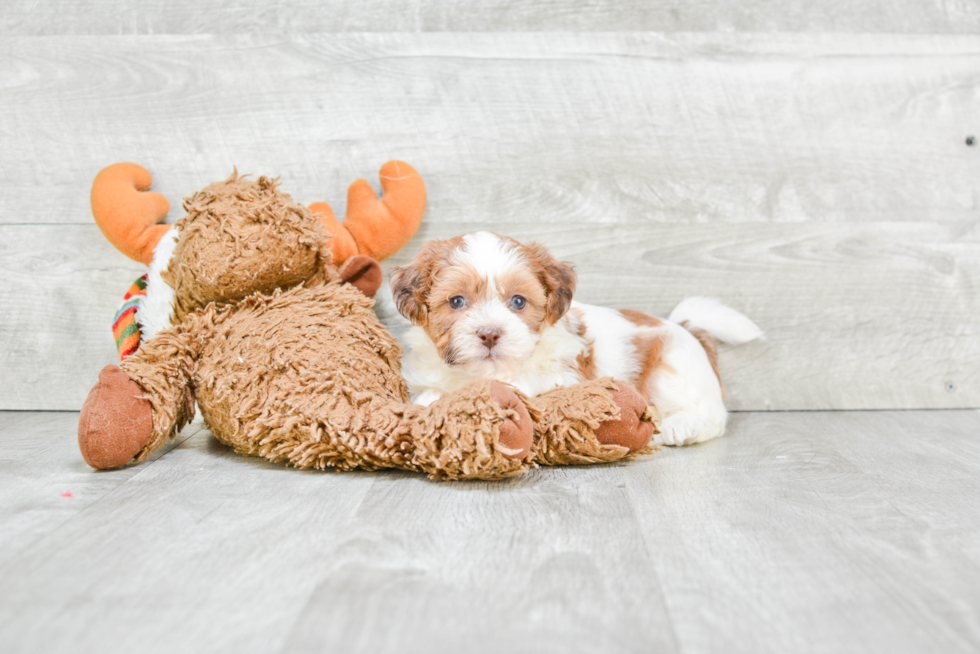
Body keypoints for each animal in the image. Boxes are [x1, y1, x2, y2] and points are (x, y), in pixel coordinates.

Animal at [386, 233, 760, 448]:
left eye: (518, 301)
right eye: (456, 301)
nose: (490, 333)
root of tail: (685, 326)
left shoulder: (562, 375)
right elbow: (429, 394)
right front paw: (431, 403)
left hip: (673, 367)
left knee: (712, 416)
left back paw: (681, 427)